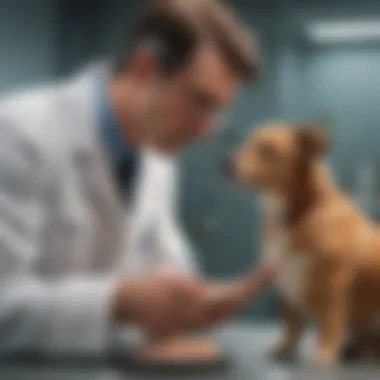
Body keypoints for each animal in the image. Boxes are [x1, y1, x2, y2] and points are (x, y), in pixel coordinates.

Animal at [221, 122, 380, 366]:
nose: (225, 163)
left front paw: (324, 352)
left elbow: (329, 324)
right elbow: (291, 324)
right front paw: (285, 348)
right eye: (246, 142)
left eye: (267, 149)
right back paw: (353, 349)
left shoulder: (333, 286)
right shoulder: (286, 286)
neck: (296, 215)